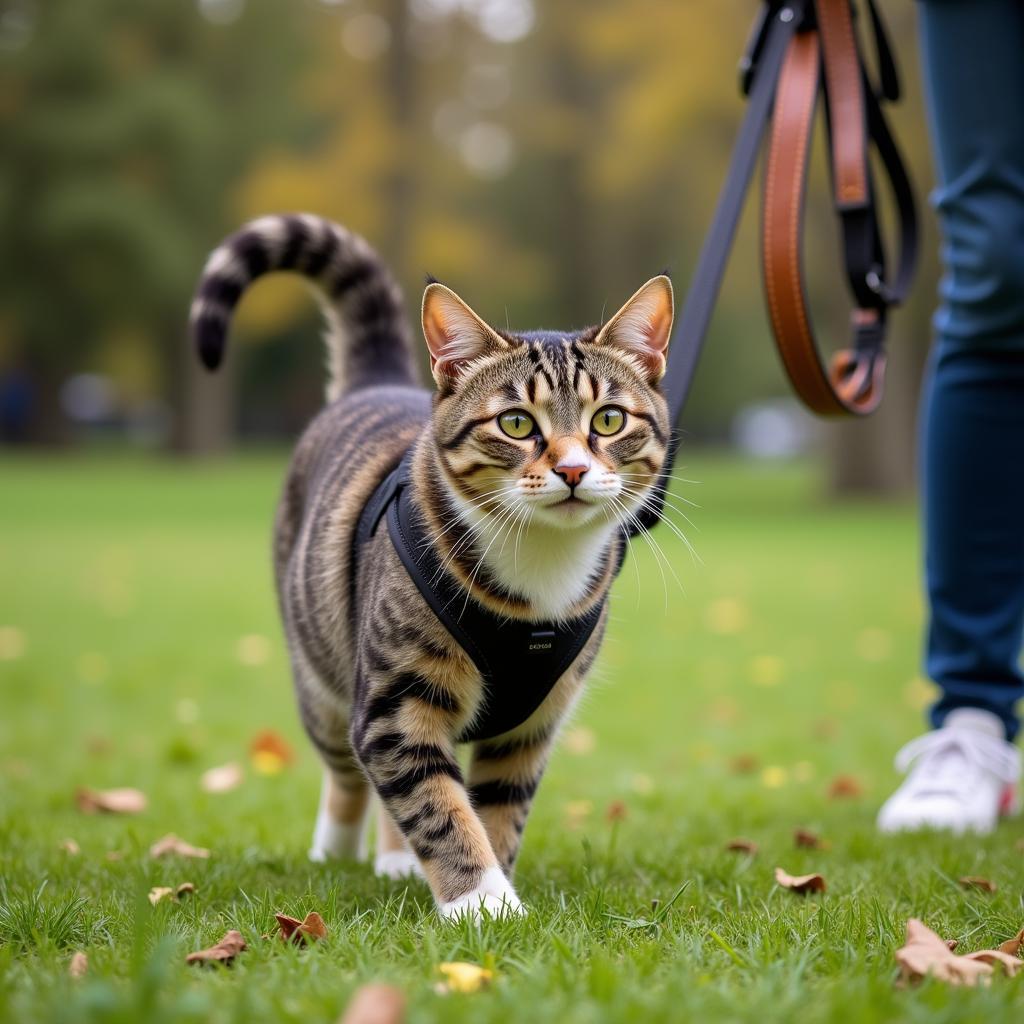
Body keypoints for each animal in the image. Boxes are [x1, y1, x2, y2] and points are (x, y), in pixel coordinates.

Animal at [190, 214, 671, 921]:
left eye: (609, 419)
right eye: (516, 423)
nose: (573, 469)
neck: (539, 571)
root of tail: (380, 382)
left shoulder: (532, 727)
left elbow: (495, 810)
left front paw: (492, 886)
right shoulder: (393, 704)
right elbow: (437, 806)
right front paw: (481, 903)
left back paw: (395, 860)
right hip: (323, 672)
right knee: (347, 771)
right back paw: (337, 850)